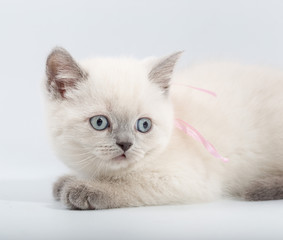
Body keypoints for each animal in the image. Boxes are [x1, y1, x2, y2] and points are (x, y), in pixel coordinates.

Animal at [45, 47, 283, 209]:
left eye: (143, 125)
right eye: (100, 122)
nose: (125, 144)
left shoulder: (185, 179)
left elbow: (129, 182)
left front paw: (84, 188)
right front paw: (67, 181)